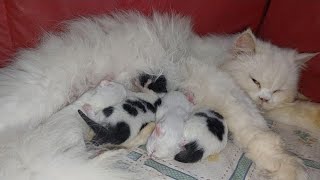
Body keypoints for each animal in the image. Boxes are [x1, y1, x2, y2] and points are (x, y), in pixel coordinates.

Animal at [0, 11, 306, 179]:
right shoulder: (228, 91)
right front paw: (289, 166)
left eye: (278, 90)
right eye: (256, 81)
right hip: (39, 97)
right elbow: (258, 127)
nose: (265, 98)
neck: (217, 56)